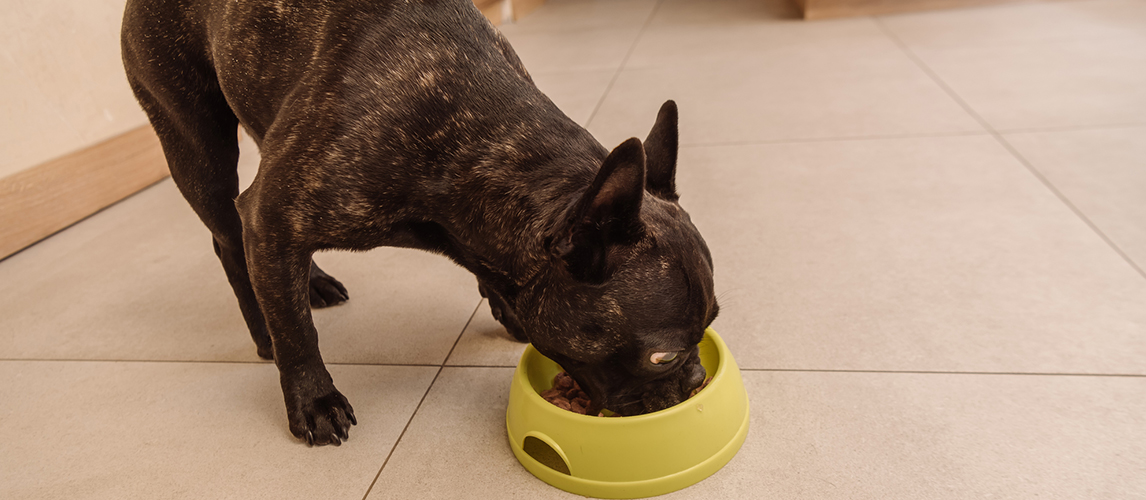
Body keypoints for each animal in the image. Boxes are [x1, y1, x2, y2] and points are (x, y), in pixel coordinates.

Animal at [123, 0, 715, 444]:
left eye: (710, 324)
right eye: (662, 357)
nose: (697, 379)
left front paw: (506, 306)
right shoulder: (273, 212)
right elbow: (297, 331)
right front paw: (313, 398)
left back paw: (309, 282)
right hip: (195, 140)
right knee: (229, 238)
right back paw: (262, 326)